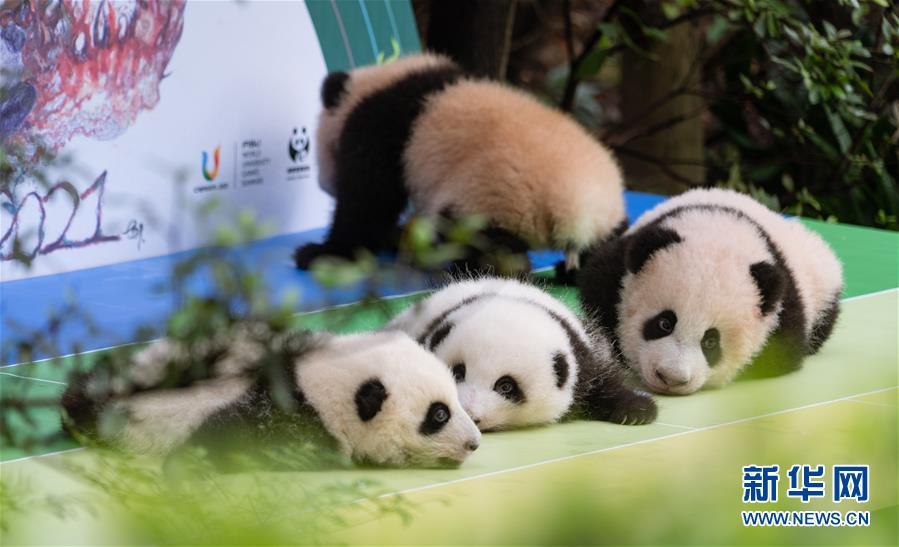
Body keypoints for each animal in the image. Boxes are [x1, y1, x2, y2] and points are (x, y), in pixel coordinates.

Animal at [295, 52, 625, 278]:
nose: (324, 185)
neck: (386, 77)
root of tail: (576, 209)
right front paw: (398, 238)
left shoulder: (382, 130)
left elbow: (367, 200)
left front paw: (321, 254)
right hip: (609, 221)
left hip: (493, 201)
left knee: (487, 253)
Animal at [388, 277, 657, 430]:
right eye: (458, 372)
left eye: (506, 386)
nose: (469, 413)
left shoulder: (583, 351)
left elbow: (602, 378)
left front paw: (637, 411)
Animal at [578, 188, 844, 395]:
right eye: (664, 323)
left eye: (711, 341)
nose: (671, 378)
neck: (719, 229)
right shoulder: (616, 269)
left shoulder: (784, 311)